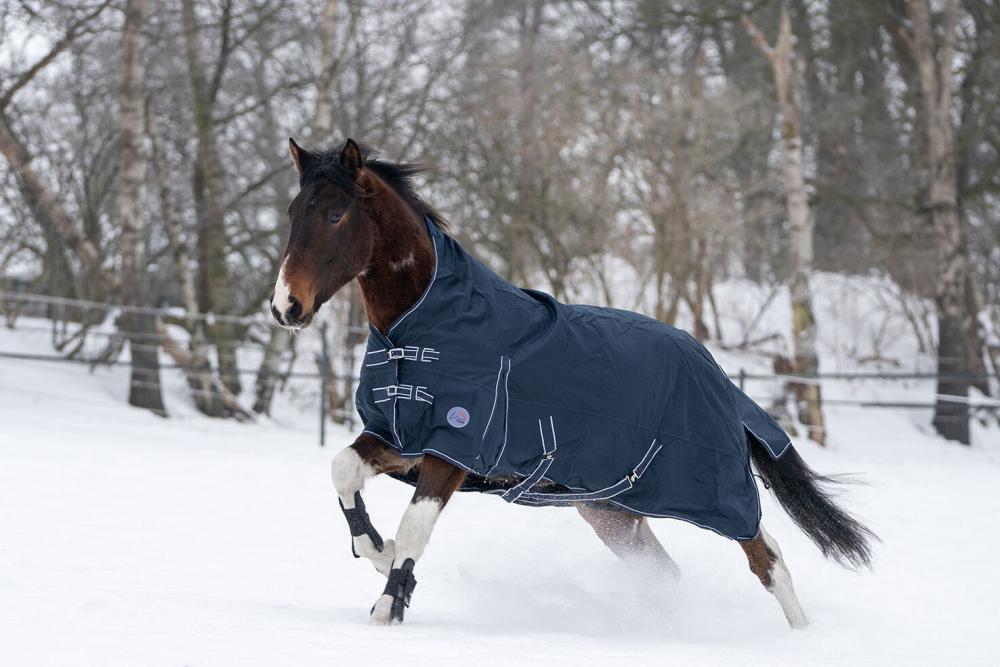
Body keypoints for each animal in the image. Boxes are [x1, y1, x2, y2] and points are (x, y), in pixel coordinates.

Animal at [270, 137, 875, 627]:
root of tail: (719, 377)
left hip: (716, 494)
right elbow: (343, 469)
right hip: (611, 510)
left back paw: (802, 639)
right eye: (295, 211)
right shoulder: (402, 440)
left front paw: (387, 608)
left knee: (767, 558)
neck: (423, 327)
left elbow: (416, 528)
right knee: (667, 572)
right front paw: (376, 550)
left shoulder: (452, 449)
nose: (286, 307)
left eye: (336, 216)